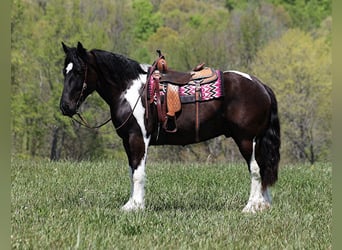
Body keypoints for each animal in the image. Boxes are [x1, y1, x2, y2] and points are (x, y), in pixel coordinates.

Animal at [60, 41, 280, 213]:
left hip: (246, 139)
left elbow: (138, 173)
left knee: (255, 169)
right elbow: (132, 171)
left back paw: (251, 207)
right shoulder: (127, 141)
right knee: (264, 168)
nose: (65, 107)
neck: (130, 90)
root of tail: (260, 85)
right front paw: (130, 204)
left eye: (79, 71)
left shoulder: (137, 138)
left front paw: (137, 206)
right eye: (64, 71)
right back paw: (264, 204)